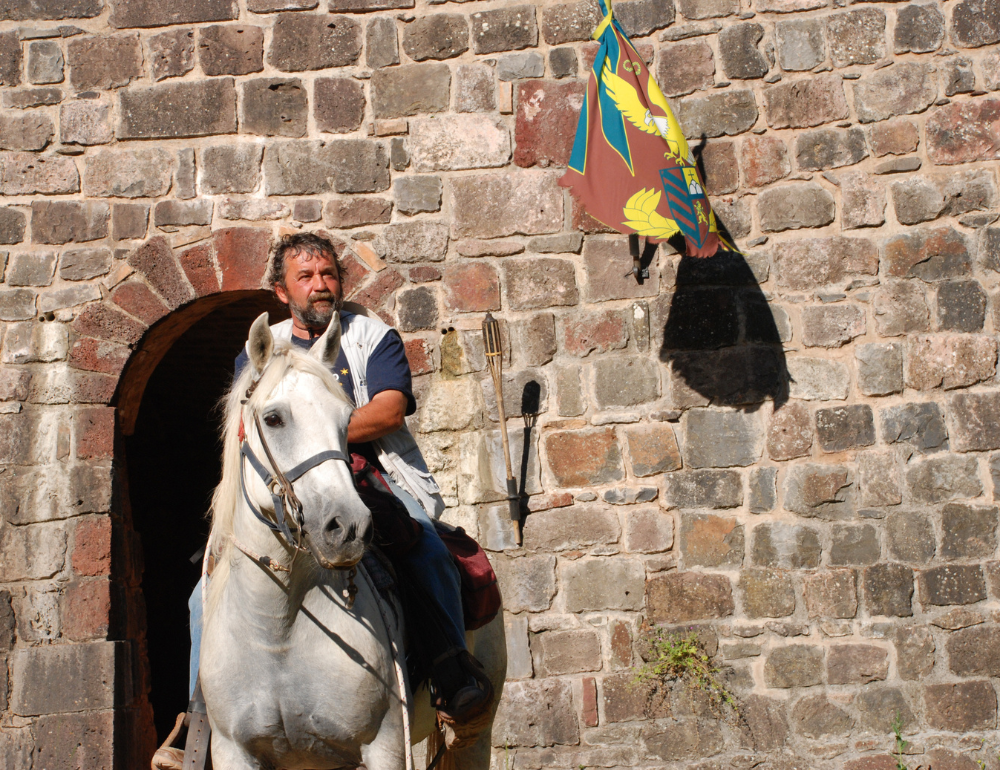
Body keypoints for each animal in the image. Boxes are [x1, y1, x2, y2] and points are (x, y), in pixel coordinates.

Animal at [199, 312, 508, 768]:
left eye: (346, 421)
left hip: (475, 732)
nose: (347, 528)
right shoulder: (233, 750)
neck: (278, 629)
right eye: (273, 418)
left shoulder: (384, 745)